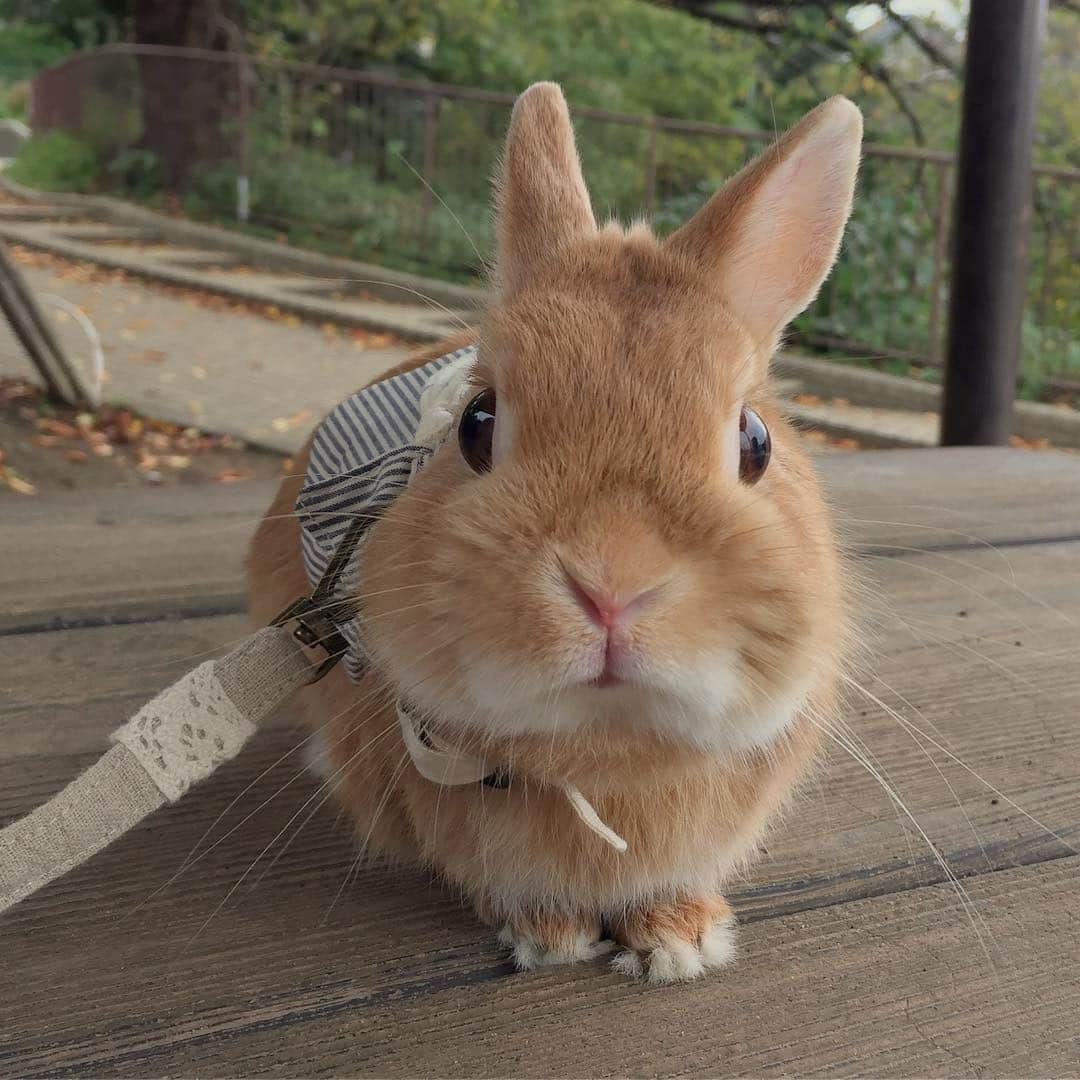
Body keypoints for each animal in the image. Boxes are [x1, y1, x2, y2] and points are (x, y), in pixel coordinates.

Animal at [248, 83, 861, 983]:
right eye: (476, 422)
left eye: (756, 442)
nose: (612, 587)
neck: (606, 756)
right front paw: (550, 935)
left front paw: (681, 940)